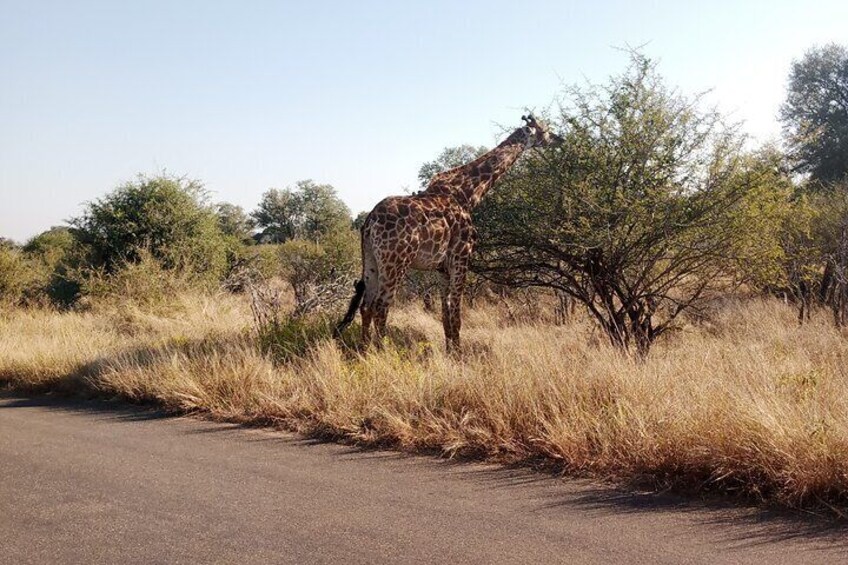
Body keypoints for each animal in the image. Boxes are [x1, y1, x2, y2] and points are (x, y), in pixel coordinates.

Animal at [336, 113, 564, 350]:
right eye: (545, 130)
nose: (560, 139)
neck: (467, 194)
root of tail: (370, 221)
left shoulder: (442, 267)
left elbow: (445, 313)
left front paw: (450, 351)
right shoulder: (461, 257)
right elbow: (456, 313)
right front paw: (459, 353)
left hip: (371, 259)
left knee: (366, 305)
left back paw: (365, 350)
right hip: (396, 261)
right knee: (381, 306)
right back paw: (384, 351)